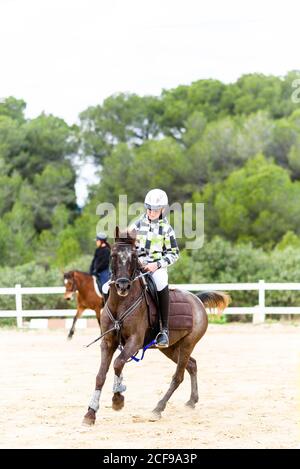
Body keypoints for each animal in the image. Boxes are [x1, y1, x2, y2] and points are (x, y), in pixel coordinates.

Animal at [82, 229, 230, 426]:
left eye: (134, 256)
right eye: (113, 255)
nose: (122, 285)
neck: (121, 303)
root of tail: (197, 300)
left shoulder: (134, 342)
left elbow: (118, 363)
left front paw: (118, 399)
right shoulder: (108, 342)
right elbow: (101, 375)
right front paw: (90, 413)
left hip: (187, 344)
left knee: (178, 376)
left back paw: (158, 408)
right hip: (170, 348)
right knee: (192, 365)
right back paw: (191, 401)